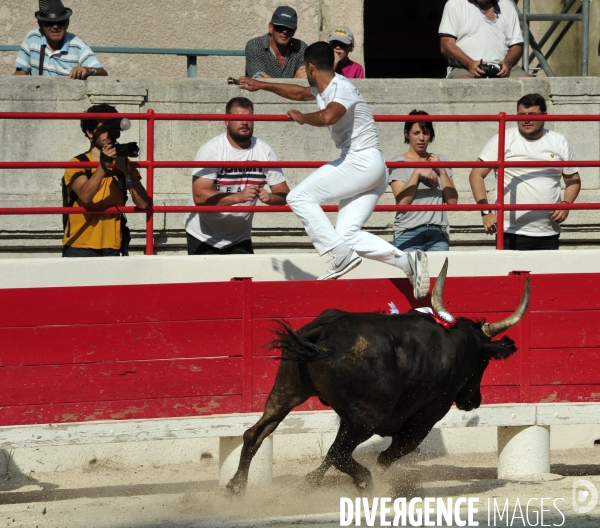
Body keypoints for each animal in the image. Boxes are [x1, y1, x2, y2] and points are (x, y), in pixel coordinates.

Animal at [226, 260, 528, 496]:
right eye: (484, 361)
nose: (473, 400)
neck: (456, 342)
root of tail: (323, 330)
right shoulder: (424, 420)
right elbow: (384, 456)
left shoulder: (349, 418)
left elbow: (332, 454)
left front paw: (309, 483)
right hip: (367, 418)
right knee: (339, 453)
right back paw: (365, 482)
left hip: (287, 392)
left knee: (256, 433)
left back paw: (236, 487)